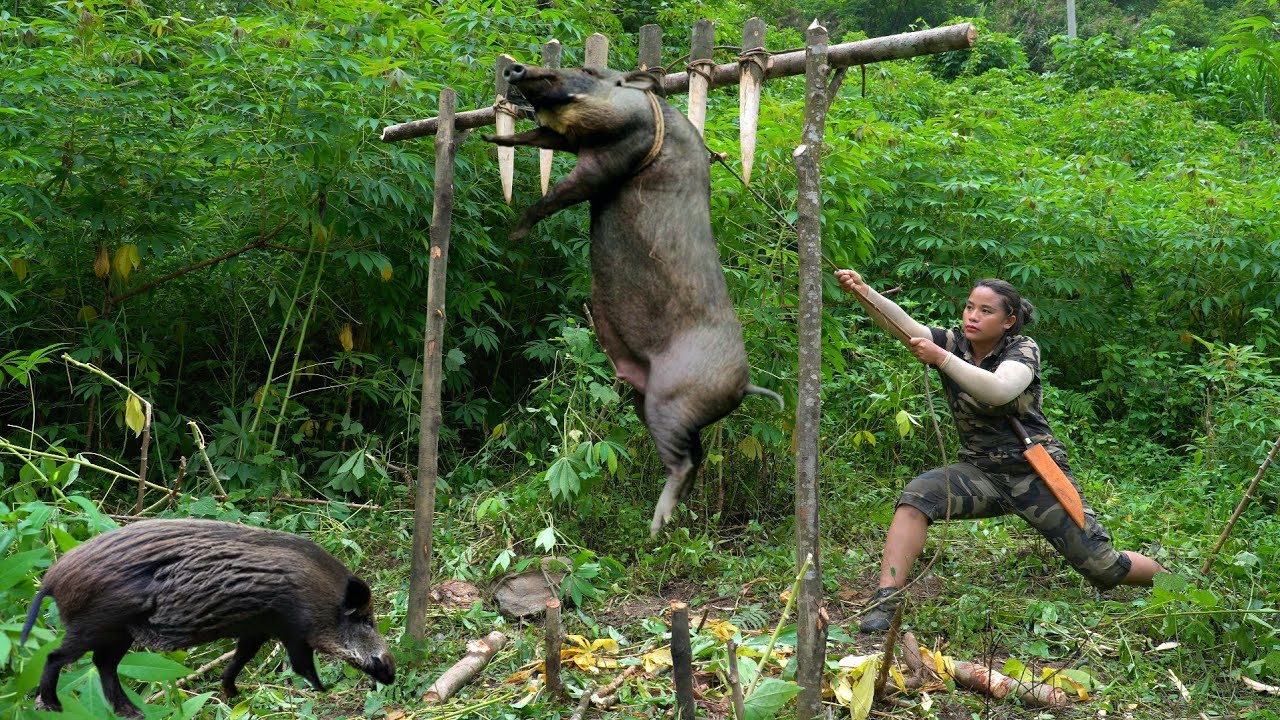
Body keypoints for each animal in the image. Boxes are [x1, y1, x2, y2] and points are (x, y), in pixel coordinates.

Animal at [20, 519, 395, 718]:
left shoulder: (258, 628)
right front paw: (323, 690)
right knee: (57, 656)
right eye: (367, 621)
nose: (391, 671)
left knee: (104, 665)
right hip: (95, 624)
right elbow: (301, 663)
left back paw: (133, 712)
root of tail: (52, 578)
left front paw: (231, 693)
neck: (321, 598)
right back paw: (53, 705)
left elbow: (242, 657)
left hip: (118, 634)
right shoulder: (292, 629)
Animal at [483, 64, 784, 537]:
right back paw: (664, 522)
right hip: (648, 400)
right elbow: (537, 138)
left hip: (670, 401)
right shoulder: (567, 141)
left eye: (587, 71)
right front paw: (490, 137)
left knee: (683, 461)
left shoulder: (614, 155)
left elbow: (561, 193)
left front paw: (515, 232)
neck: (652, 113)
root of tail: (743, 385)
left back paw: (656, 526)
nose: (517, 68)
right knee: (696, 455)